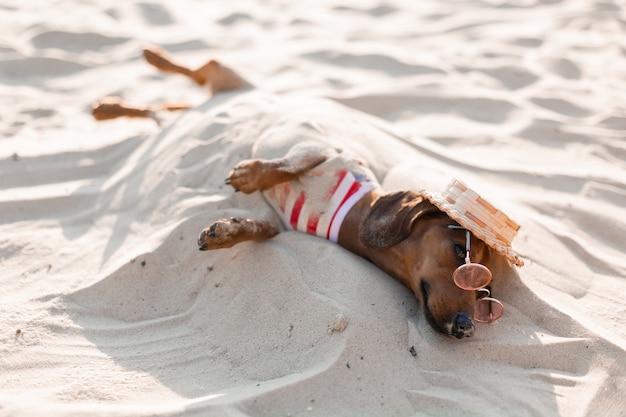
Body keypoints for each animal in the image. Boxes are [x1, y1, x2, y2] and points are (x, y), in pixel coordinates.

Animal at [92, 48, 520, 338]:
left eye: (485, 291)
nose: (466, 327)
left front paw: (226, 231)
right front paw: (250, 174)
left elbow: (257, 228)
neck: (349, 213)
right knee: (199, 67)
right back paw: (149, 62)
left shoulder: (279, 223)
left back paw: (113, 107)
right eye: (459, 252)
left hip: (177, 114)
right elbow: (287, 165)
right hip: (227, 76)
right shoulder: (318, 146)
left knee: (161, 109)